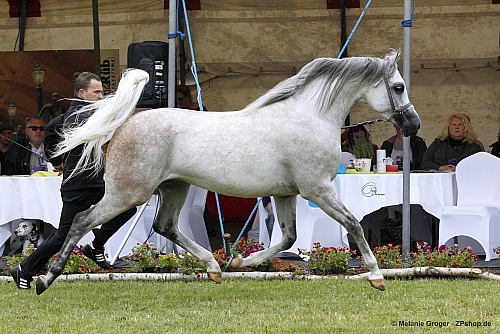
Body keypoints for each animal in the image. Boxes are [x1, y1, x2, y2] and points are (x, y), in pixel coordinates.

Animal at [35, 48, 420, 294]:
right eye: (399, 86)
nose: (413, 124)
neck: (308, 116)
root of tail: (123, 125)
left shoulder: (287, 194)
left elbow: (288, 238)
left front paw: (239, 263)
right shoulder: (317, 190)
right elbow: (353, 224)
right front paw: (376, 276)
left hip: (173, 188)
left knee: (165, 226)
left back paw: (215, 268)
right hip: (128, 193)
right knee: (81, 221)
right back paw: (44, 279)